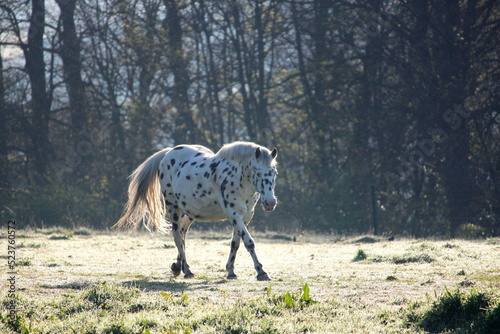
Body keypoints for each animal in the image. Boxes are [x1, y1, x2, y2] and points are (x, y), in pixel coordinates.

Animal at [116, 141, 280, 282]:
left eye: (274, 173)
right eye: (257, 172)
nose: (270, 203)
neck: (238, 178)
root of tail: (168, 153)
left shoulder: (245, 217)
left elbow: (235, 243)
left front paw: (231, 272)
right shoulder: (234, 215)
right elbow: (249, 242)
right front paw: (261, 272)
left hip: (190, 212)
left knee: (182, 234)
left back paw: (178, 267)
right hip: (173, 206)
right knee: (177, 235)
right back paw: (187, 271)